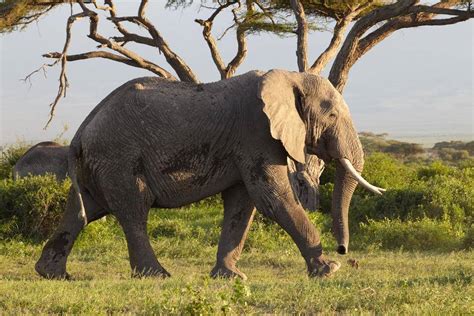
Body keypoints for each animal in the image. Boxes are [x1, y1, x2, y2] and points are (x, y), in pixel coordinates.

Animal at [35, 69, 384, 278]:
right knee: (133, 211)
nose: (343, 250)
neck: (289, 76)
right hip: (118, 158)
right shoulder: (256, 132)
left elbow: (242, 205)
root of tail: (82, 129)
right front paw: (329, 269)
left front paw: (230, 277)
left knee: (83, 211)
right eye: (332, 115)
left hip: (100, 164)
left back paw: (52, 274)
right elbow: (274, 199)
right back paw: (157, 275)